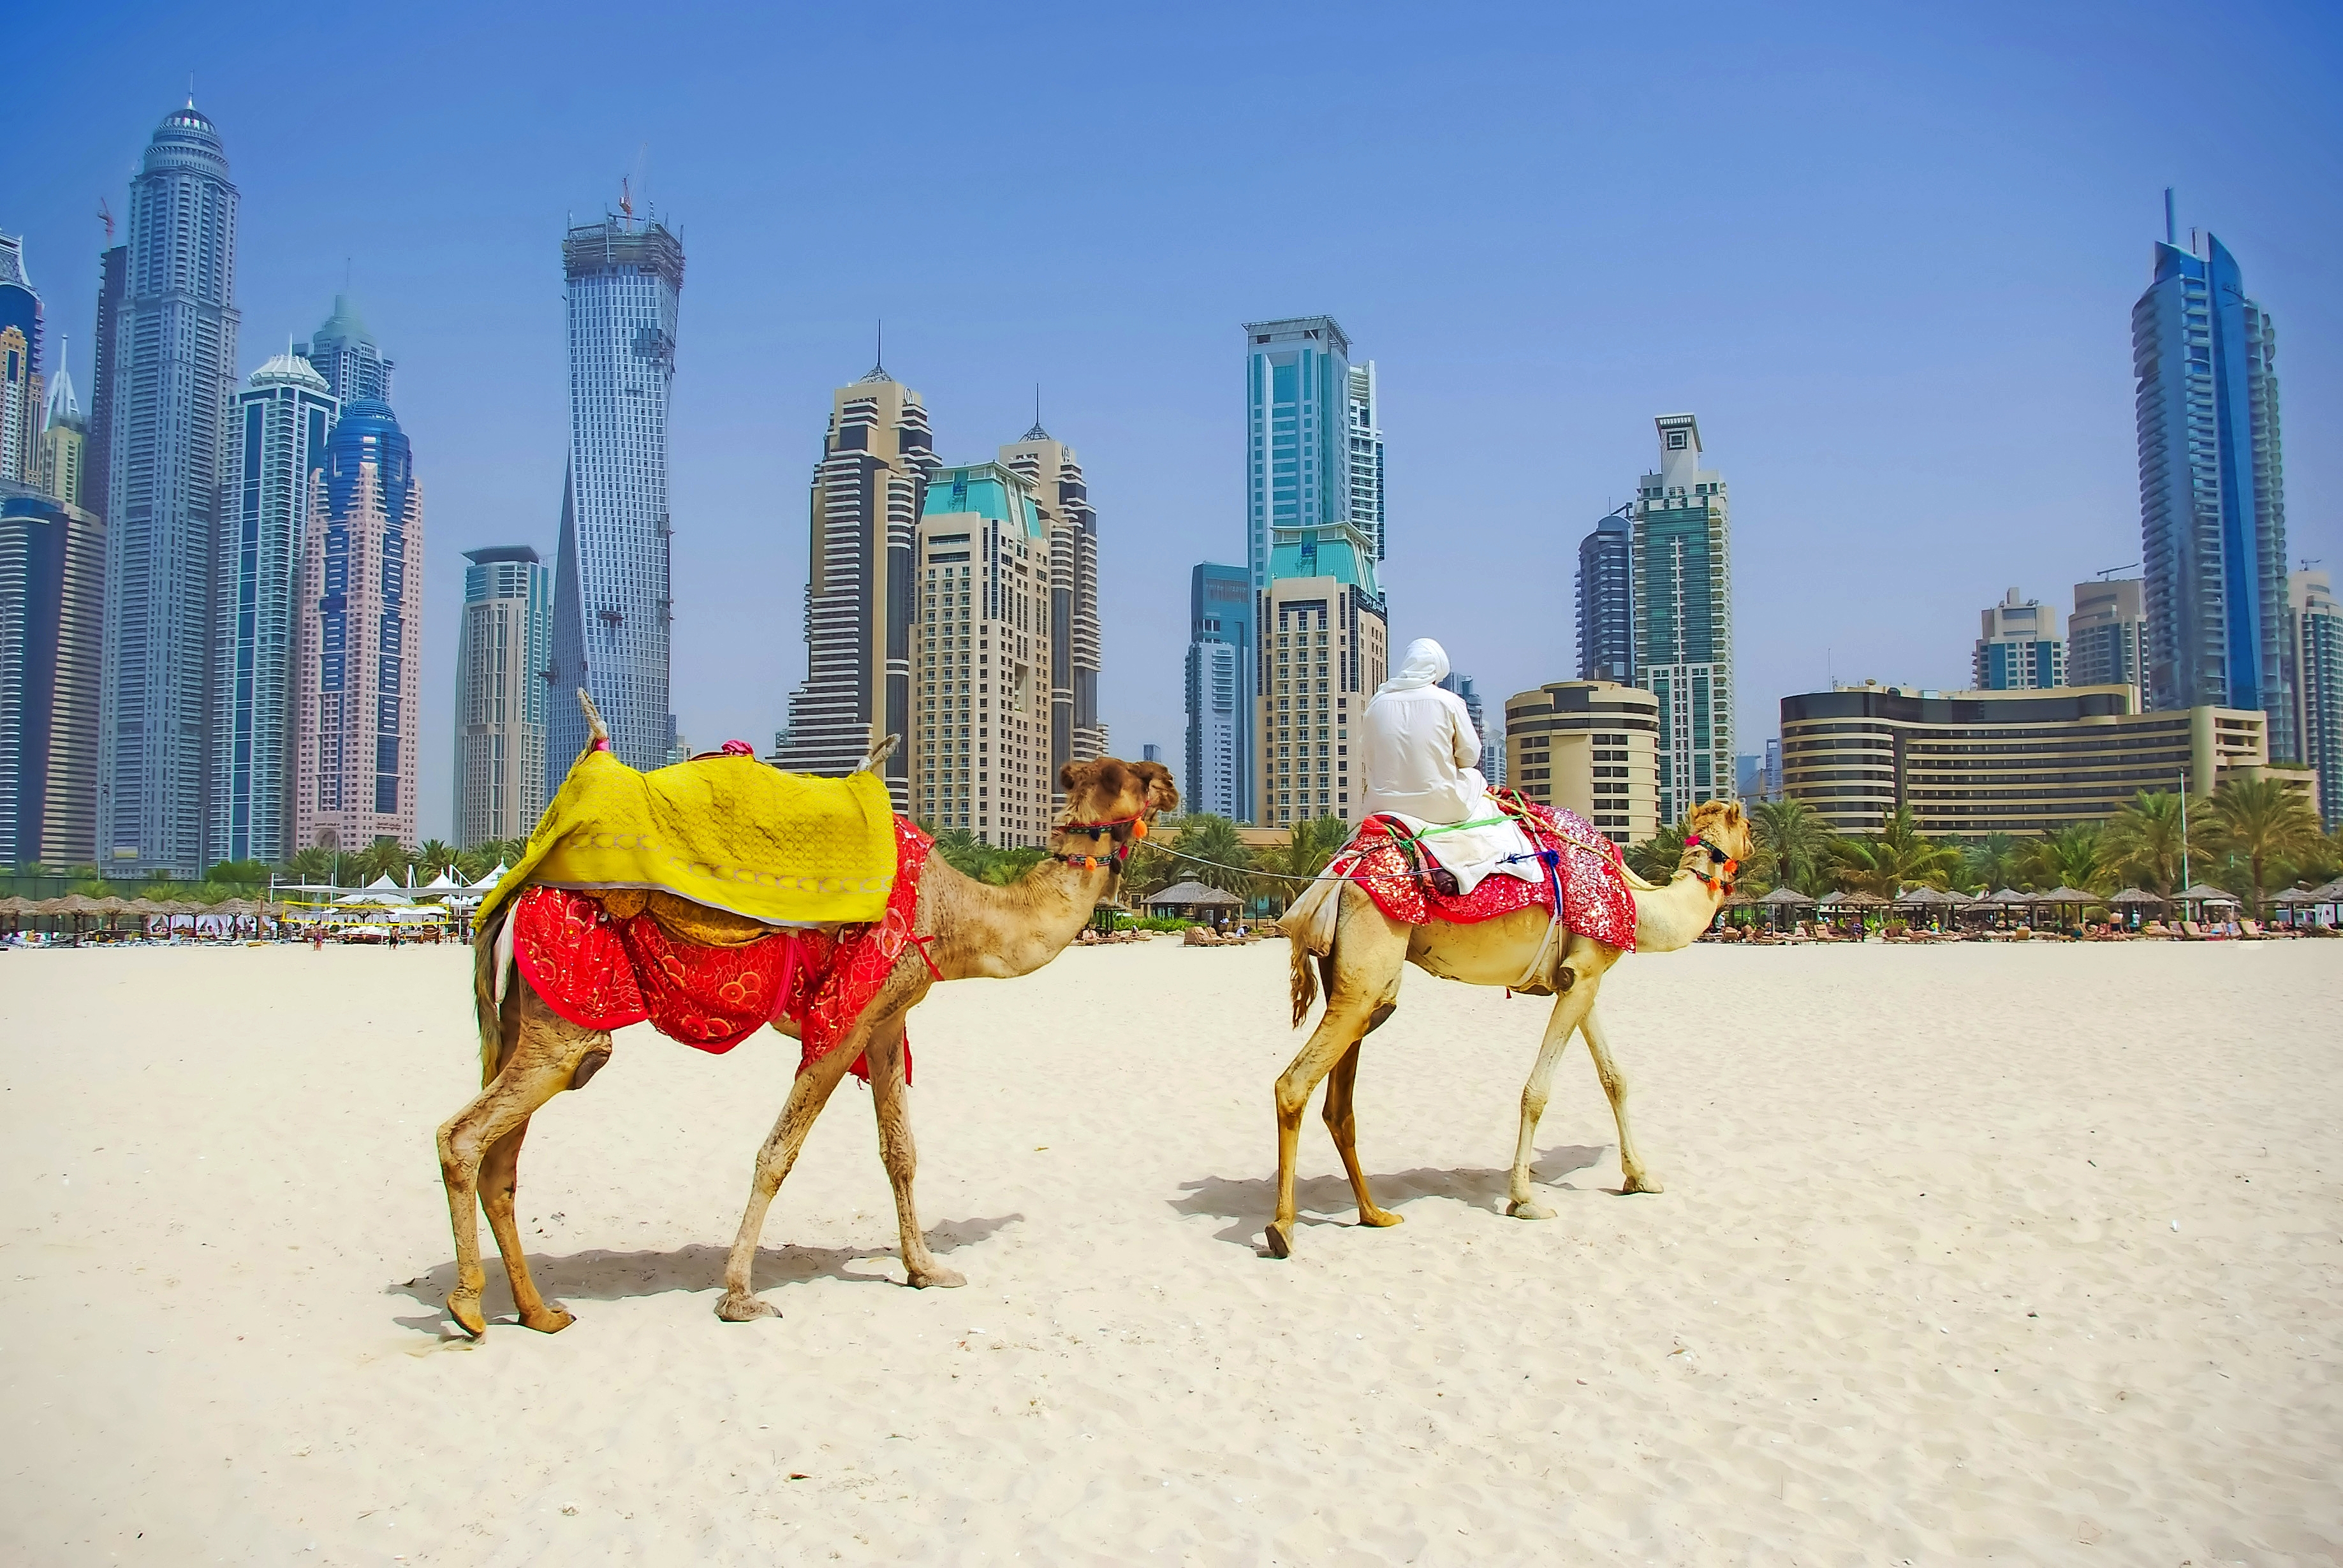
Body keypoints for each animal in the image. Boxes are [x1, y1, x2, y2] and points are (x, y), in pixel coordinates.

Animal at [433, 745, 1180, 1331]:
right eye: (1140, 775)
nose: (1173, 780)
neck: (953, 912)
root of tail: (510, 897)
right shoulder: (842, 1018)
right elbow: (778, 1153)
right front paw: (739, 1295)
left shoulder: (888, 1018)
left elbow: (900, 1151)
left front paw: (925, 1269)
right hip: (567, 1016)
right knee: (463, 1135)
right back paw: (469, 1307)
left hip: (526, 1022)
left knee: (502, 1163)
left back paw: (539, 1312)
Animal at [1274, 802, 1752, 1256]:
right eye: (1747, 824)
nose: (1753, 846)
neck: (1641, 904)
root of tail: (1338, 872)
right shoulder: (1584, 971)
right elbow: (1537, 1092)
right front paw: (1525, 1199)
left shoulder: (1581, 977)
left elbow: (1614, 1078)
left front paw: (1640, 1177)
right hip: (1370, 967)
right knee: (1292, 1085)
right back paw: (1282, 1229)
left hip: (1356, 983)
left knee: (1339, 1105)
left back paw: (1374, 1214)